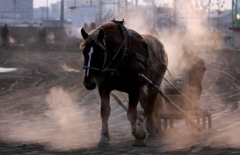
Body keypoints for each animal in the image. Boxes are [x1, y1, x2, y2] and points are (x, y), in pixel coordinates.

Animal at [79, 19, 168, 148]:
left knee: (149, 107)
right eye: (84, 52)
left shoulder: (134, 89)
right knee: (145, 103)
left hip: (154, 84)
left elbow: (131, 114)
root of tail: (160, 44)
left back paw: (146, 131)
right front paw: (103, 137)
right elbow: (105, 111)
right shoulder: (104, 88)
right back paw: (152, 130)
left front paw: (139, 135)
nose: (88, 83)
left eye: (99, 52)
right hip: (142, 88)